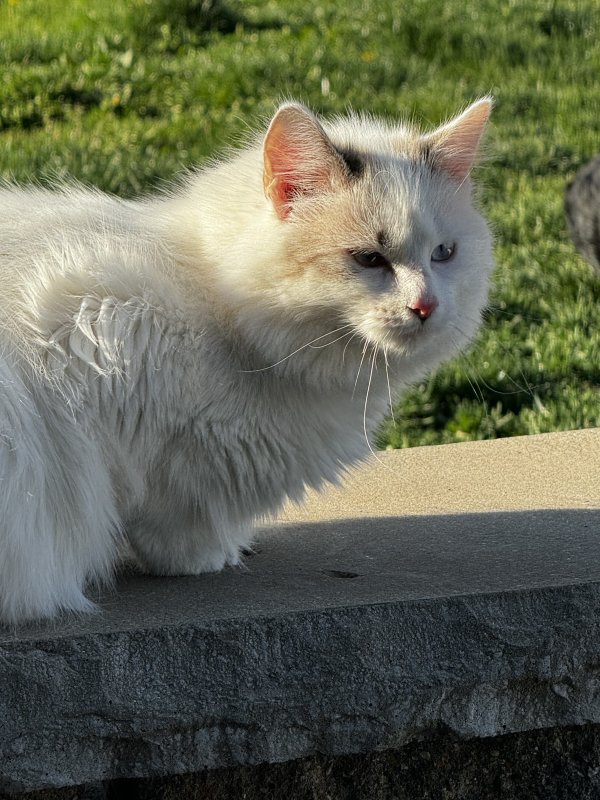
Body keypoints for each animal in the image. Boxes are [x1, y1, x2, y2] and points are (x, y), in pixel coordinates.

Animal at [0, 100, 492, 624]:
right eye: (368, 259)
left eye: (444, 254)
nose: (425, 306)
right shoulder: (106, 350)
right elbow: (164, 516)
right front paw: (202, 557)